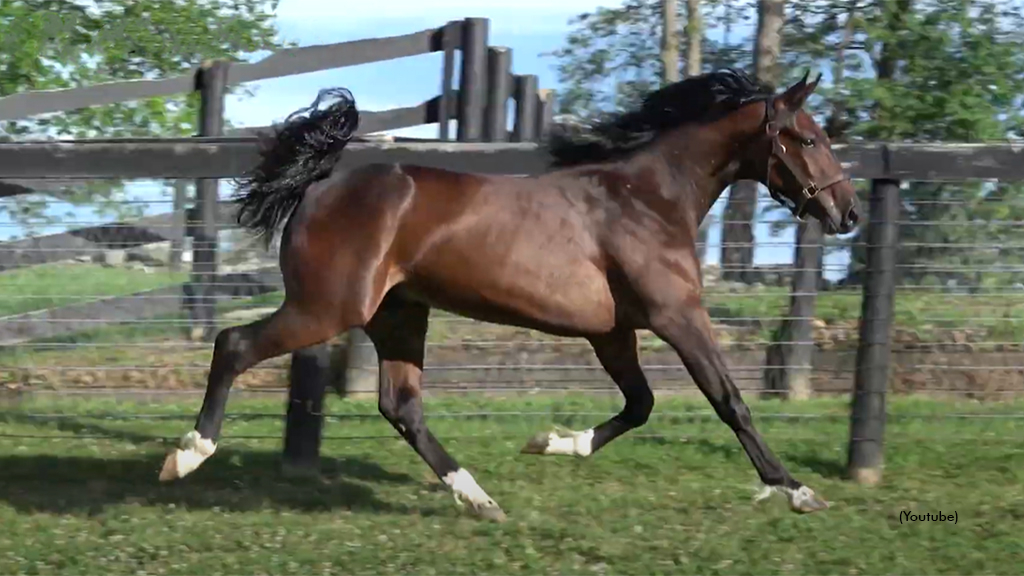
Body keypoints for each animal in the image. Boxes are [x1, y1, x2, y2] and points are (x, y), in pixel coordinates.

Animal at [159, 68, 860, 520]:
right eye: (808, 138)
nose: (847, 213)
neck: (648, 200)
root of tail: (321, 180)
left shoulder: (612, 330)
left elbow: (640, 404)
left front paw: (549, 442)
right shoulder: (676, 315)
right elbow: (729, 401)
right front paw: (796, 491)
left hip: (398, 315)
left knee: (401, 407)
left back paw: (479, 497)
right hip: (328, 307)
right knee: (234, 344)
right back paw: (187, 456)